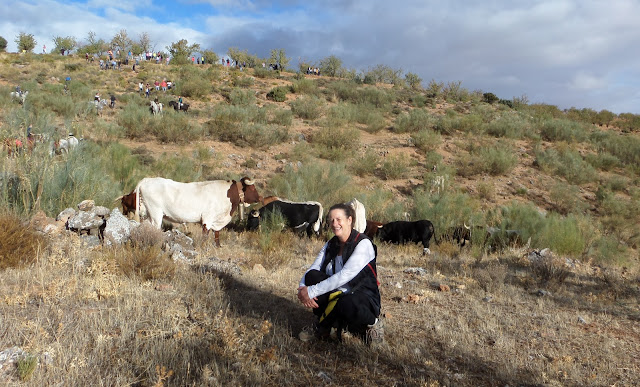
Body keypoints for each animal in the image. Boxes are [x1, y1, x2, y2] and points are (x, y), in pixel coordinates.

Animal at [131, 178, 262, 247]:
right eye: (253, 188)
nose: (260, 198)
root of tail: (147, 180)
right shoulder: (207, 219)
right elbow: (205, 235)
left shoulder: (216, 221)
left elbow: (217, 234)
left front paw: (218, 246)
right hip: (156, 213)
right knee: (155, 228)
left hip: (150, 214)